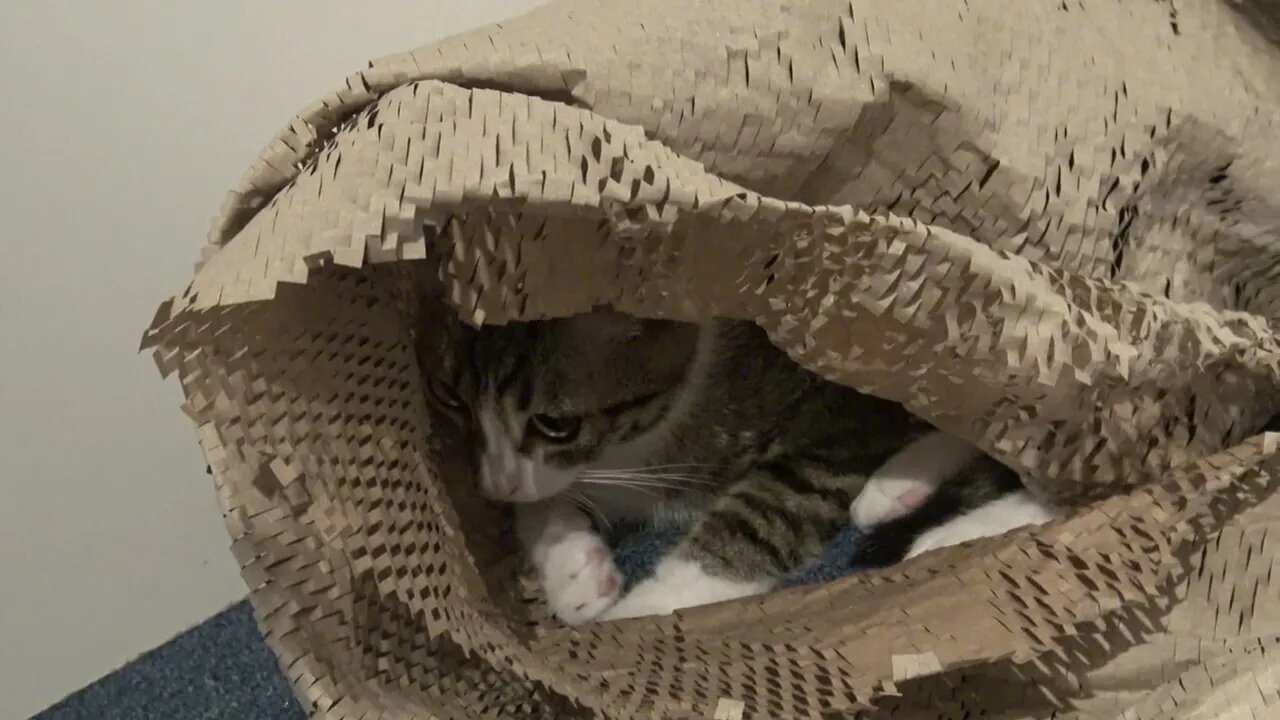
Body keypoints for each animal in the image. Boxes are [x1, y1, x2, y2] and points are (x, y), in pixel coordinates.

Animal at [424, 308, 1054, 622]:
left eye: (556, 423)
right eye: (452, 401)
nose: (491, 482)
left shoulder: (844, 422)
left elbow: (761, 515)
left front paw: (637, 612)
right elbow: (537, 499)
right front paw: (573, 568)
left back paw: (909, 497)